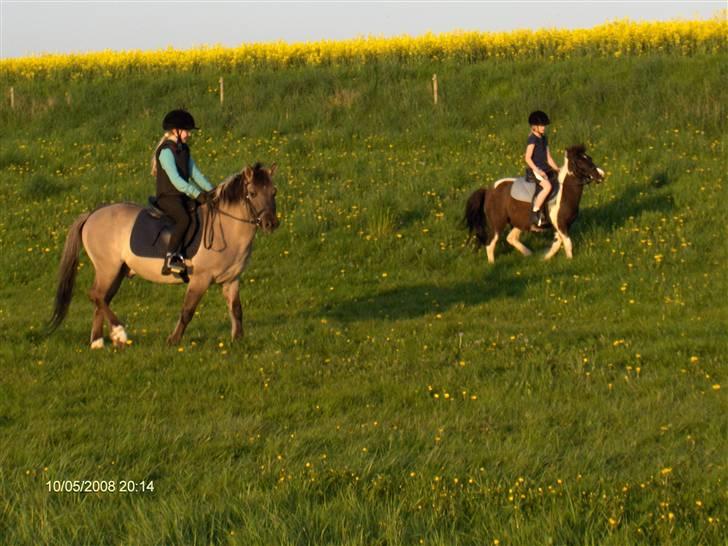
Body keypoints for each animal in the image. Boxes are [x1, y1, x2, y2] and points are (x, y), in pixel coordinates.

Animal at [46, 164, 278, 346]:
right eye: (253, 193)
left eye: (274, 192)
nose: (271, 224)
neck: (226, 228)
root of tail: (93, 214)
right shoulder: (200, 279)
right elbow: (187, 310)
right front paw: (173, 340)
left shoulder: (231, 279)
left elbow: (237, 309)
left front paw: (238, 340)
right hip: (107, 268)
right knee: (96, 295)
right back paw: (119, 333)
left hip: (117, 271)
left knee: (102, 299)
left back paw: (98, 342)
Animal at [466, 144, 604, 264]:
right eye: (580, 162)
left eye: (590, 158)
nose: (601, 175)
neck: (564, 193)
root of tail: (488, 190)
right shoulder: (560, 224)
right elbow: (567, 243)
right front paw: (570, 261)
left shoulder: (563, 225)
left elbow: (557, 243)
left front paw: (545, 258)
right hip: (497, 223)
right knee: (490, 244)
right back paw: (492, 264)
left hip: (519, 222)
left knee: (511, 238)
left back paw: (528, 253)